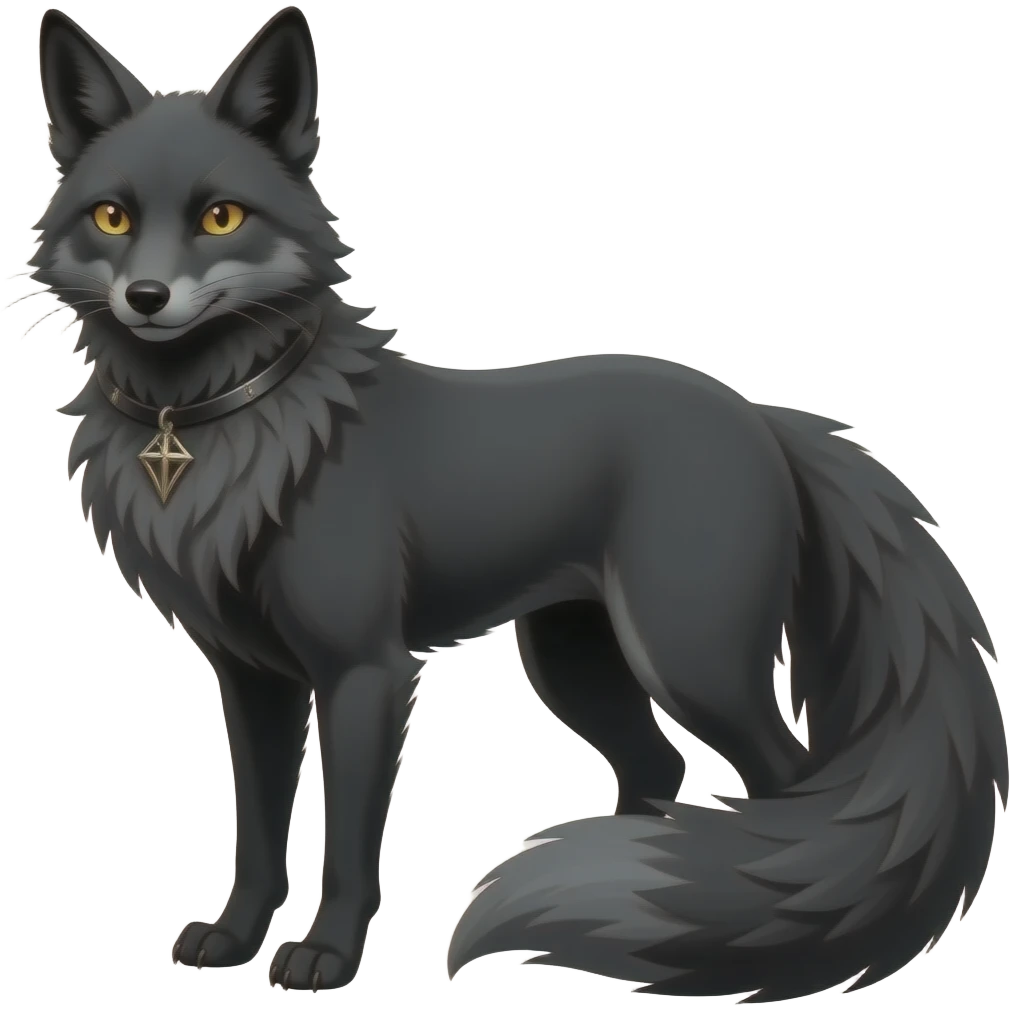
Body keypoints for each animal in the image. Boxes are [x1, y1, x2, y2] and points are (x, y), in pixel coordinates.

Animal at [23, 5, 1006, 999]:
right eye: (112, 216)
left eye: (219, 217)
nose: (147, 296)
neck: (231, 443)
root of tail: (758, 414)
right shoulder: (252, 677)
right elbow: (257, 834)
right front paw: (233, 937)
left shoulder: (365, 671)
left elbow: (347, 849)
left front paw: (328, 956)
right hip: (575, 666)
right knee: (661, 772)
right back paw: (660, 927)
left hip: (693, 662)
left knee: (785, 786)